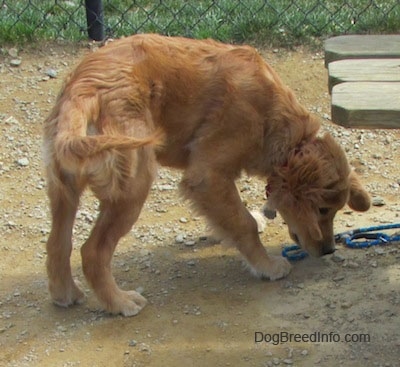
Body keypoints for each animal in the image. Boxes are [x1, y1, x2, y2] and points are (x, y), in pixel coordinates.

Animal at [42, 33, 370, 318]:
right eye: (323, 209)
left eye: (334, 211)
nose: (328, 250)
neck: (276, 123)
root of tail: (84, 88)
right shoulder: (207, 175)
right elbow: (244, 224)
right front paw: (266, 265)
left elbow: (232, 218)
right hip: (134, 183)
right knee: (92, 251)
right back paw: (119, 302)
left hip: (64, 188)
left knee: (58, 244)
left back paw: (65, 294)